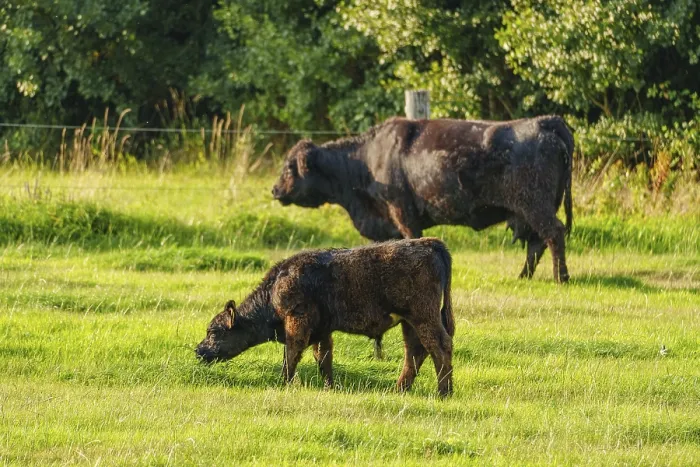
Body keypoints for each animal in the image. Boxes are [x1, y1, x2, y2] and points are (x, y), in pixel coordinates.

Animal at [195, 238, 455, 397]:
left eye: (214, 331)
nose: (199, 350)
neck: (276, 287)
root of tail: (430, 243)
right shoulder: (322, 330)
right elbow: (323, 359)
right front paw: (330, 387)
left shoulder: (297, 323)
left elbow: (291, 355)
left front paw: (284, 383)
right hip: (409, 322)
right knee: (415, 352)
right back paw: (399, 390)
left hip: (424, 317)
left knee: (439, 347)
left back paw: (443, 393)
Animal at [272, 115, 573, 284]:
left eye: (289, 167)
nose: (275, 190)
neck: (367, 158)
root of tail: (545, 121)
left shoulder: (403, 214)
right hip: (530, 211)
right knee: (537, 243)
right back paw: (524, 277)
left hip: (535, 206)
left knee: (553, 234)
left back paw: (561, 278)